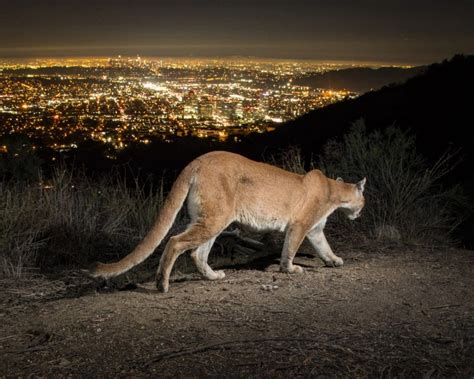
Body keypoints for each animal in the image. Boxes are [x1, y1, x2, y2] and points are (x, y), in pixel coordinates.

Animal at [91, 150, 366, 292]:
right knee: (175, 242)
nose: (360, 213)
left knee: (197, 253)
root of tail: (198, 160)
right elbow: (290, 249)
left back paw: (212, 276)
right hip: (214, 218)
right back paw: (162, 284)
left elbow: (323, 246)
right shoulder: (299, 225)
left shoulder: (315, 230)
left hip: (213, 219)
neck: (332, 190)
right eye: (363, 202)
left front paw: (334, 260)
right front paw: (289, 269)